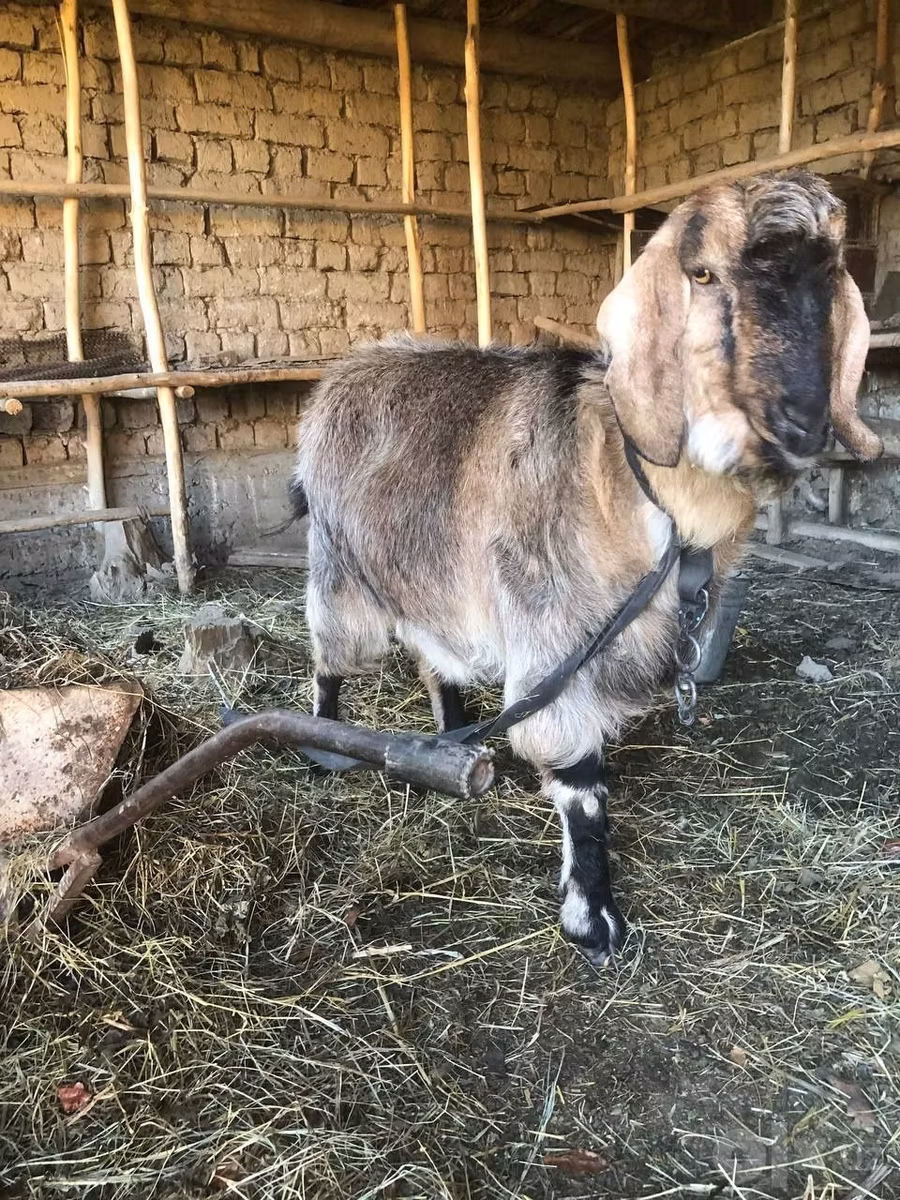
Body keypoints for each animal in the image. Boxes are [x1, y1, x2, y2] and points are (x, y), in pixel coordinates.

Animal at [292, 170, 882, 965]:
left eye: (830, 274)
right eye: (702, 273)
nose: (802, 424)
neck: (634, 488)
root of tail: (345, 370)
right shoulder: (553, 634)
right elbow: (580, 785)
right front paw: (593, 917)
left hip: (428, 574)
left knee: (434, 656)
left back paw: (453, 734)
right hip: (342, 570)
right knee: (330, 658)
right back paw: (324, 747)